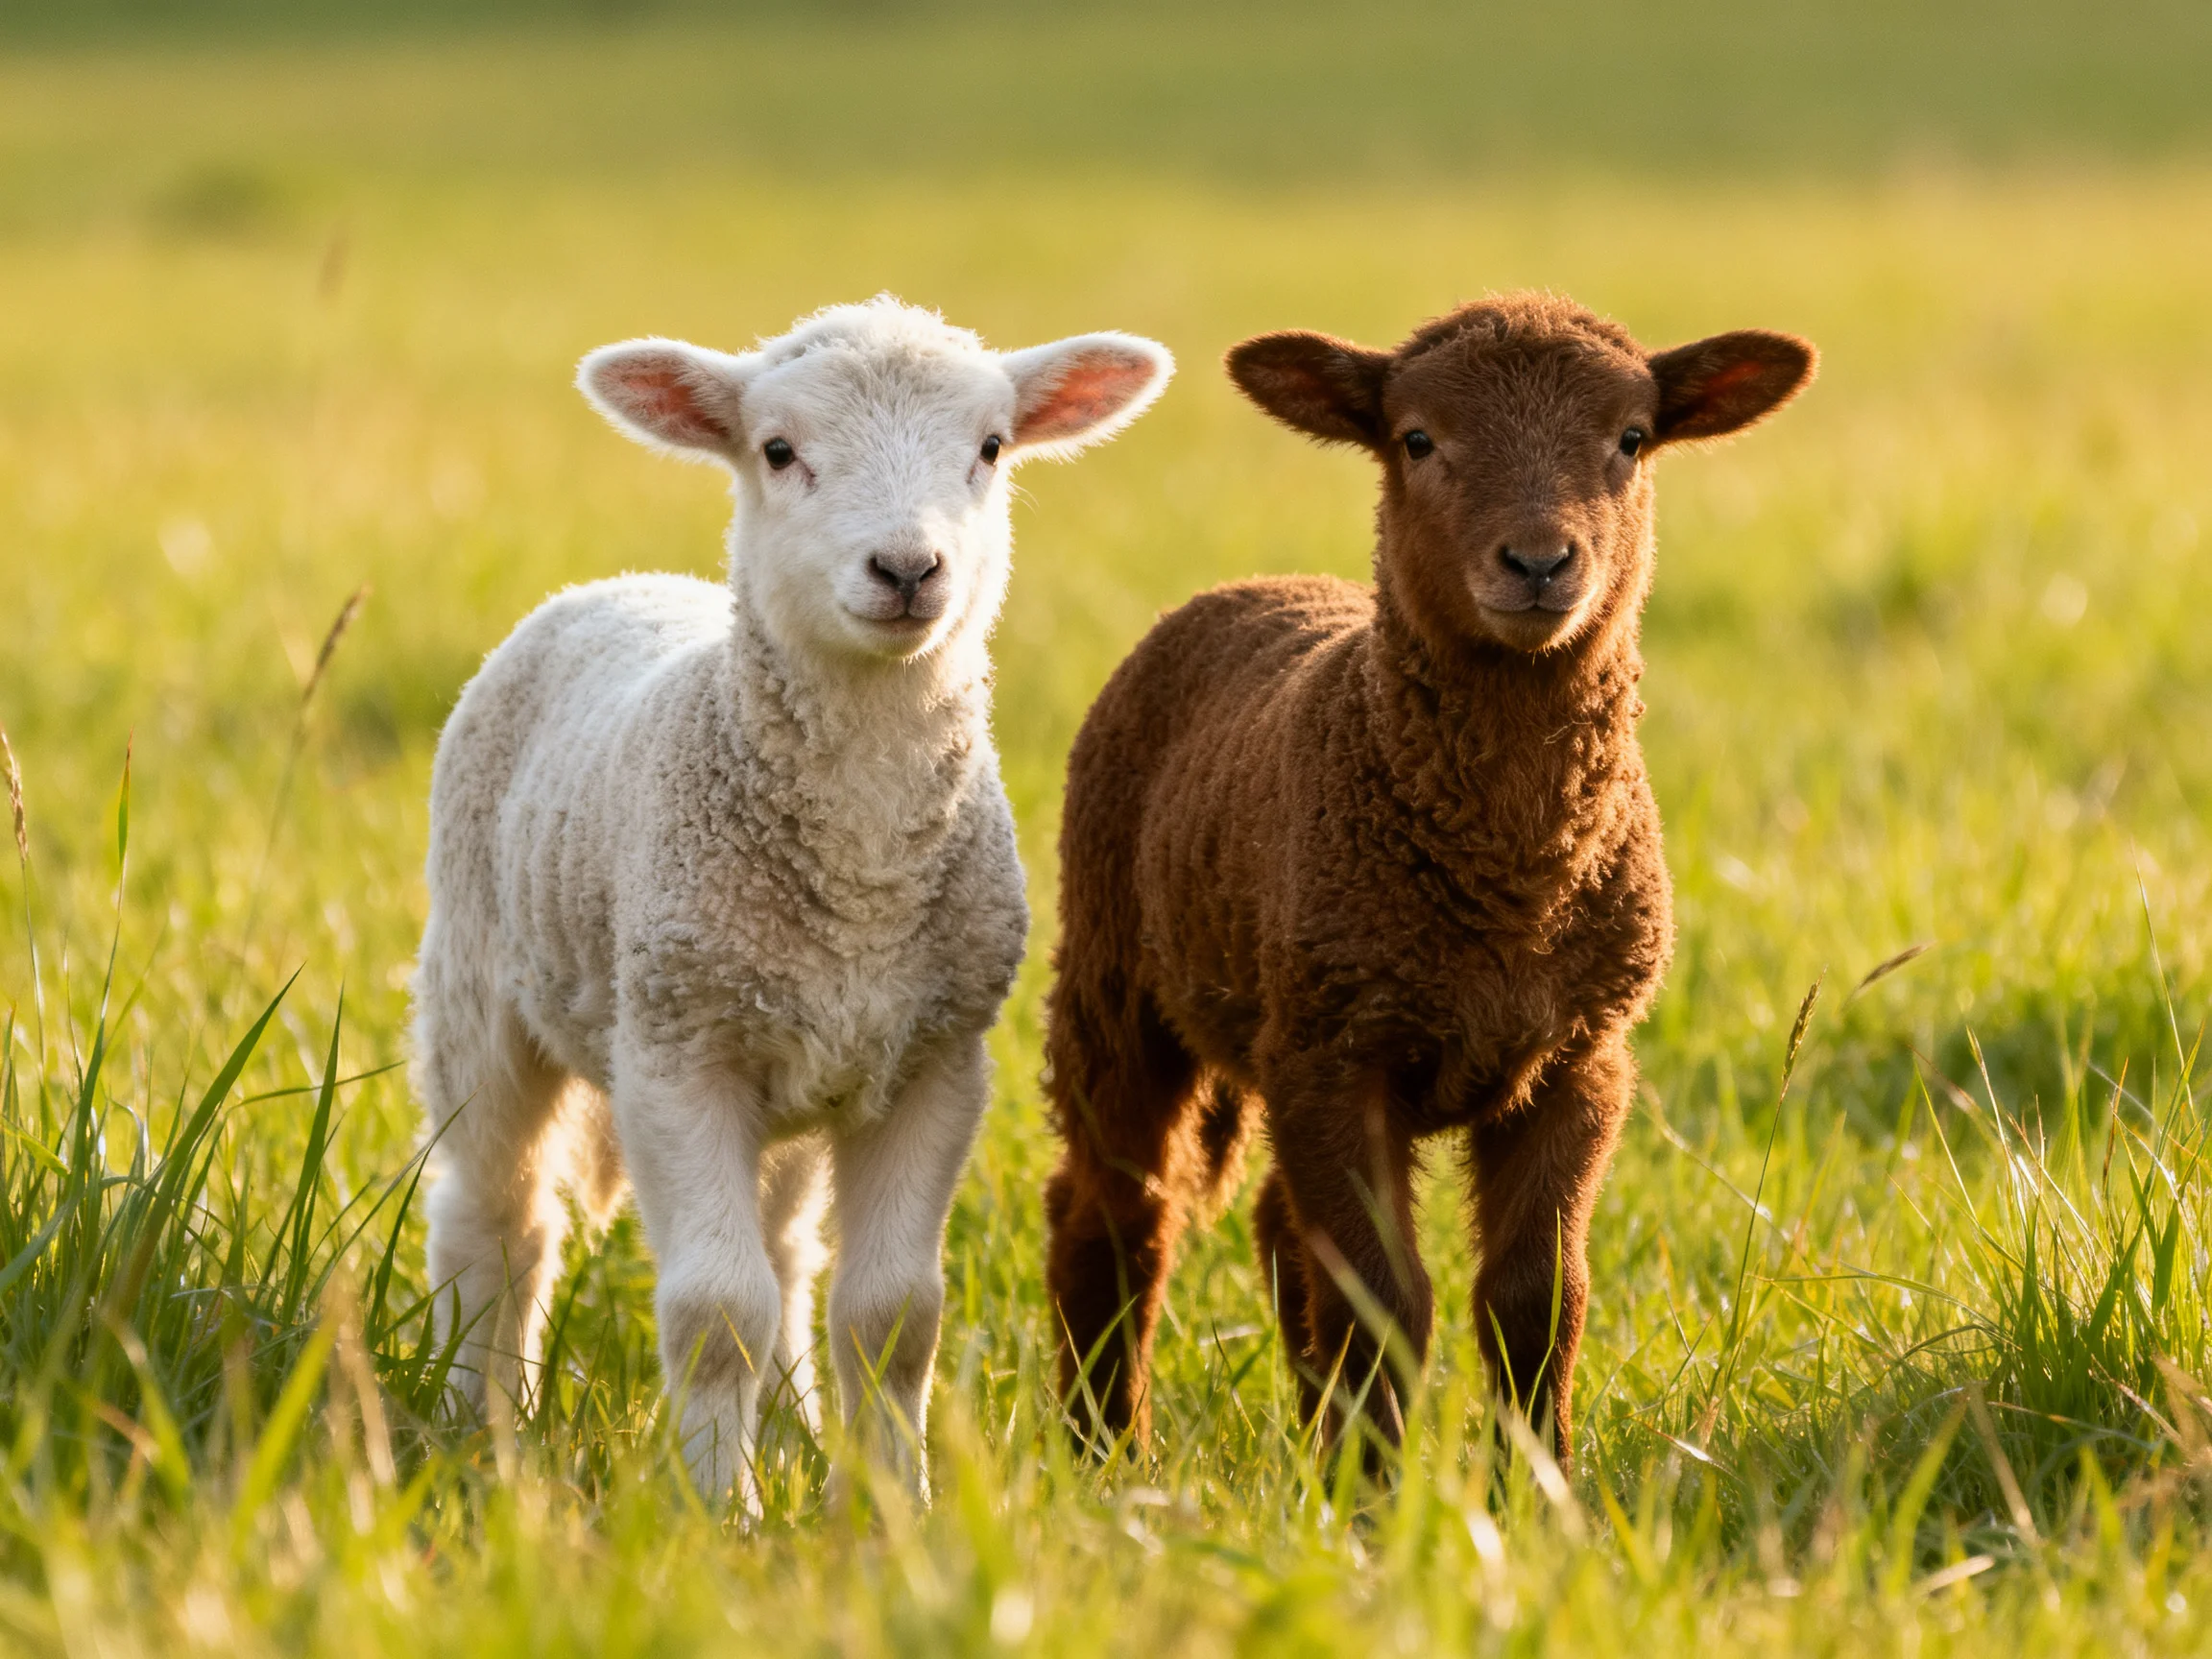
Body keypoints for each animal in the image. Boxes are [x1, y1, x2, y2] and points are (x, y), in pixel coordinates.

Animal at [413, 297, 1173, 1509]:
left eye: (991, 447)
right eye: (777, 450)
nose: (908, 567)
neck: (860, 875)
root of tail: (621, 582)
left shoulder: (934, 1061)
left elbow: (891, 1316)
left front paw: (891, 1508)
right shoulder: (677, 1052)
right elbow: (715, 1309)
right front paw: (720, 1516)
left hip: (796, 1065)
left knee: (781, 1251)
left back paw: (788, 1429)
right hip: (481, 992)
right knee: (495, 1219)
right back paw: (479, 1426)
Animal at [1043, 292, 1813, 1466]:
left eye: (1632, 439)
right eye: (1417, 440)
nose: (1539, 563)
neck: (1511, 885)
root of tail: (1252, 585)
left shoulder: (1579, 1060)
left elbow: (1535, 1299)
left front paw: (1533, 1481)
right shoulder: (1338, 1057)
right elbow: (1386, 1303)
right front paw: (1380, 1494)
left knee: (1275, 1227)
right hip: (1115, 982)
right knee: (1114, 1216)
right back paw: (1108, 1456)